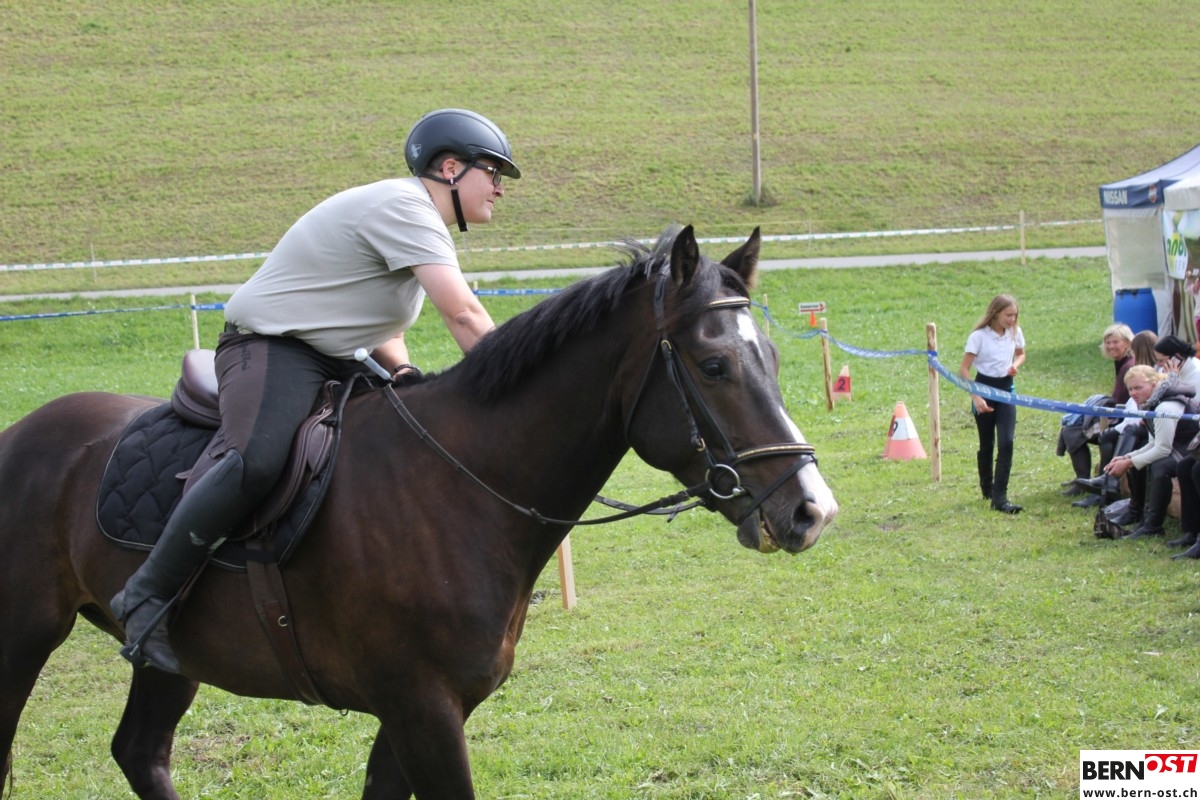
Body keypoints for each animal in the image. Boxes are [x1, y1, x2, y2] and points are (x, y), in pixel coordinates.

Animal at [0, 225, 837, 799]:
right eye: (714, 365)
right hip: (24, 639)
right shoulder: (421, 710)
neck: (460, 487)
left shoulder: (415, 715)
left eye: (774, 360)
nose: (811, 511)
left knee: (140, 753)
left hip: (170, 660)